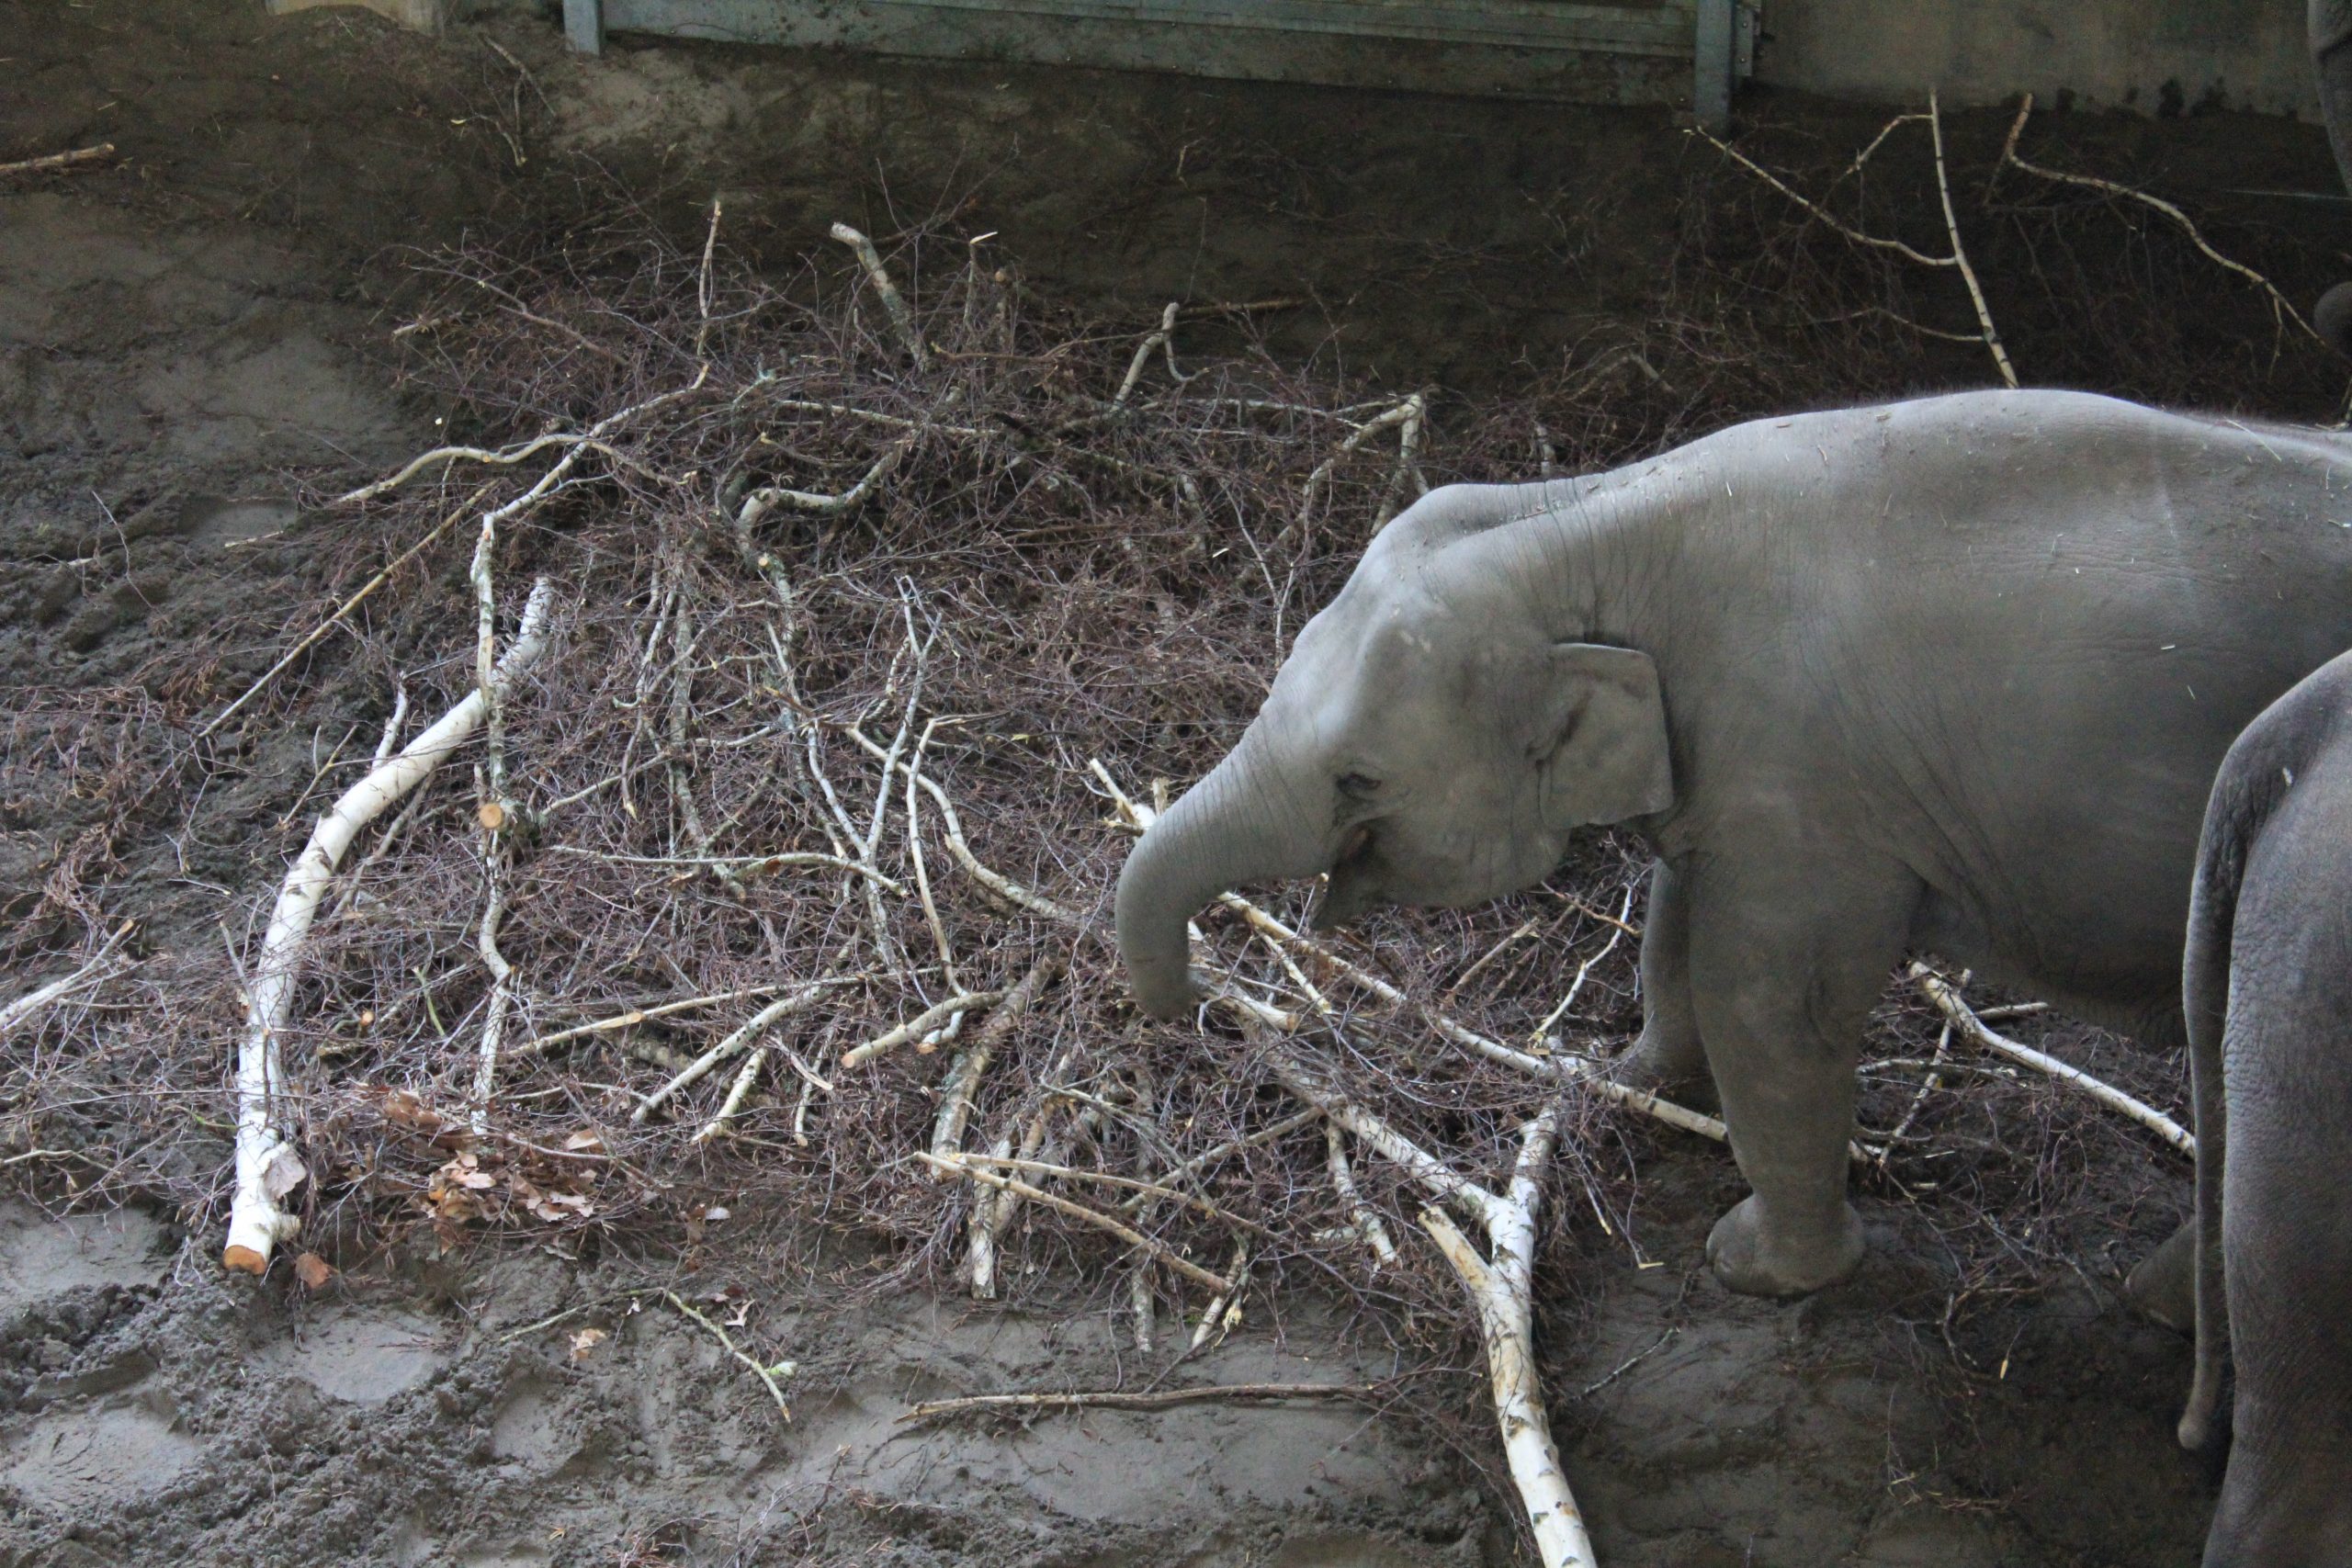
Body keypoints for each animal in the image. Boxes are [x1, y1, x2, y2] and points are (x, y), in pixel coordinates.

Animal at [1110, 389, 2352, 1297]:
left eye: (1357, 777)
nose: (1194, 1004)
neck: (1596, 516)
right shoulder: (1734, 768)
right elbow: (1676, 913)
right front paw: (1624, 1080)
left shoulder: (1812, 785)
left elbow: (1768, 998)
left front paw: (1757, 1269)